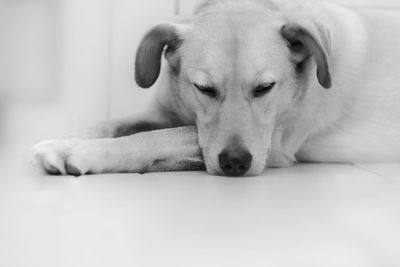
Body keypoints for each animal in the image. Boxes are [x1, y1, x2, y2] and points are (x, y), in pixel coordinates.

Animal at [31, 0, 400, 177]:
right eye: (204, 88)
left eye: (265, 87)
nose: (235, 163)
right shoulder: (164, 112)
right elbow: (110, 123)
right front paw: (73, 136)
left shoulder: (274, 146)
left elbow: (159, 138)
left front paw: (81, 151)